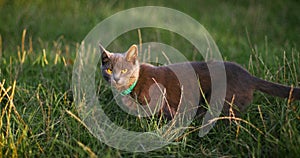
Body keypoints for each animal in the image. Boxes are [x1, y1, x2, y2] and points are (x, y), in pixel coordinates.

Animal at [101, 43, 300, 119]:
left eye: (124, 70)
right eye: (109, 69)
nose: (116, 78)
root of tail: (249, 76)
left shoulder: (164, 103)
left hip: (222, 101)